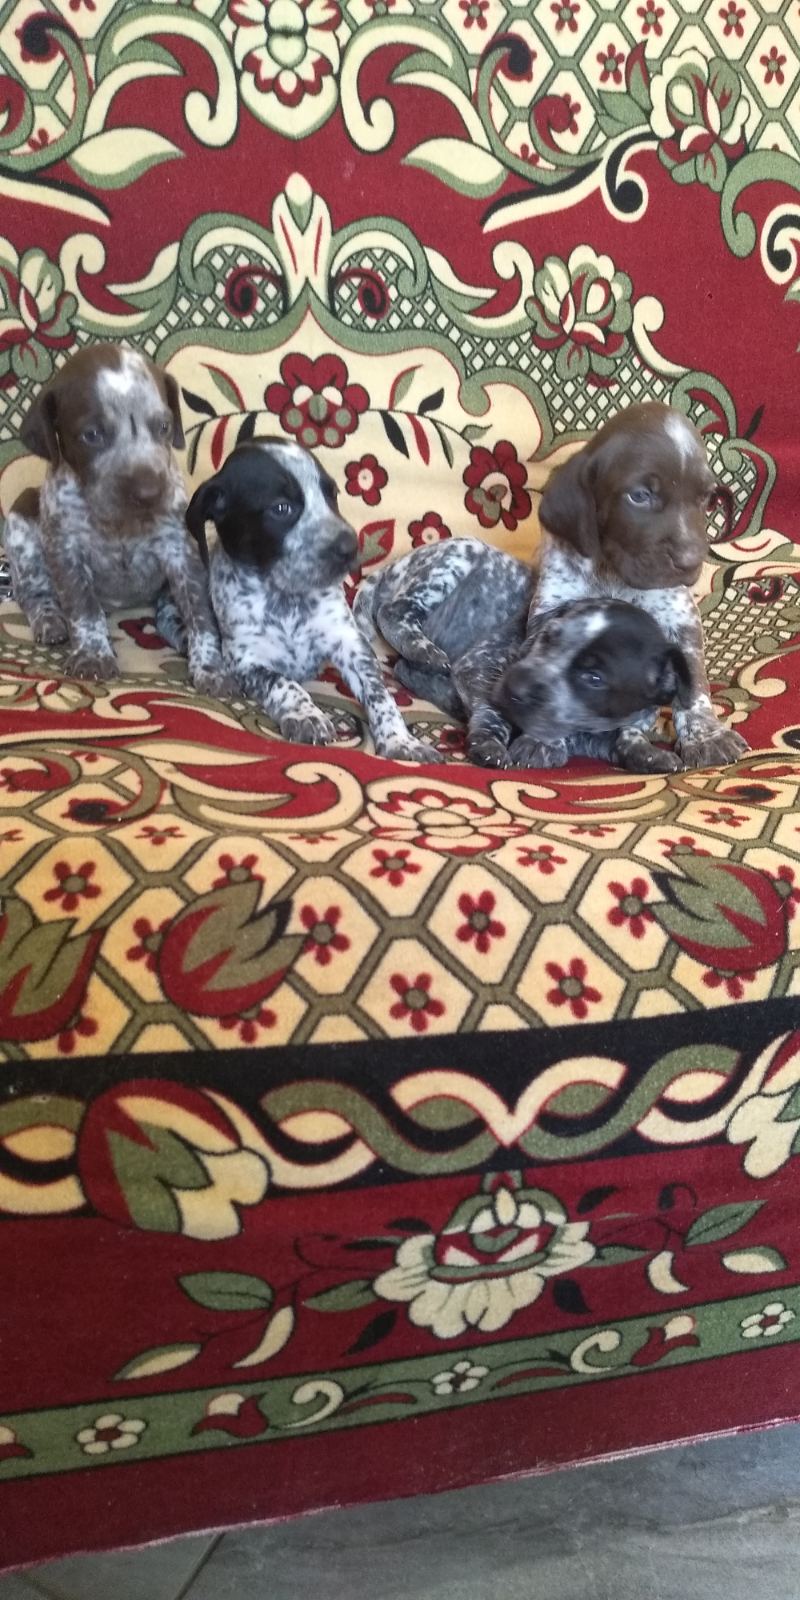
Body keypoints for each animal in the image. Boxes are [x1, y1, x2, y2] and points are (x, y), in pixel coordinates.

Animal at [2, 343, 232, 695]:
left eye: (163, 426)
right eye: (92, 434)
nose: (150, 493)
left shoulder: (181, 551)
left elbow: (201, 615)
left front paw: (210, 668)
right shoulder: (67, 551)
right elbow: (83, 609)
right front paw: (93, 654)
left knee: (168, 608)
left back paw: (179, 631)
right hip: (20, 524)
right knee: (34, 592)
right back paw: (50, 619)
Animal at [184, 439, 442, 763]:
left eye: (332, 496)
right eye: (281, 508)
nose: (350, 547)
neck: (285, 597)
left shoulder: (352, 648)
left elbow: (381, 696)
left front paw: (401, 740)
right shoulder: (246, 662)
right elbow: (284, 683)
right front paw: (307, 715)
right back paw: (209, 671)